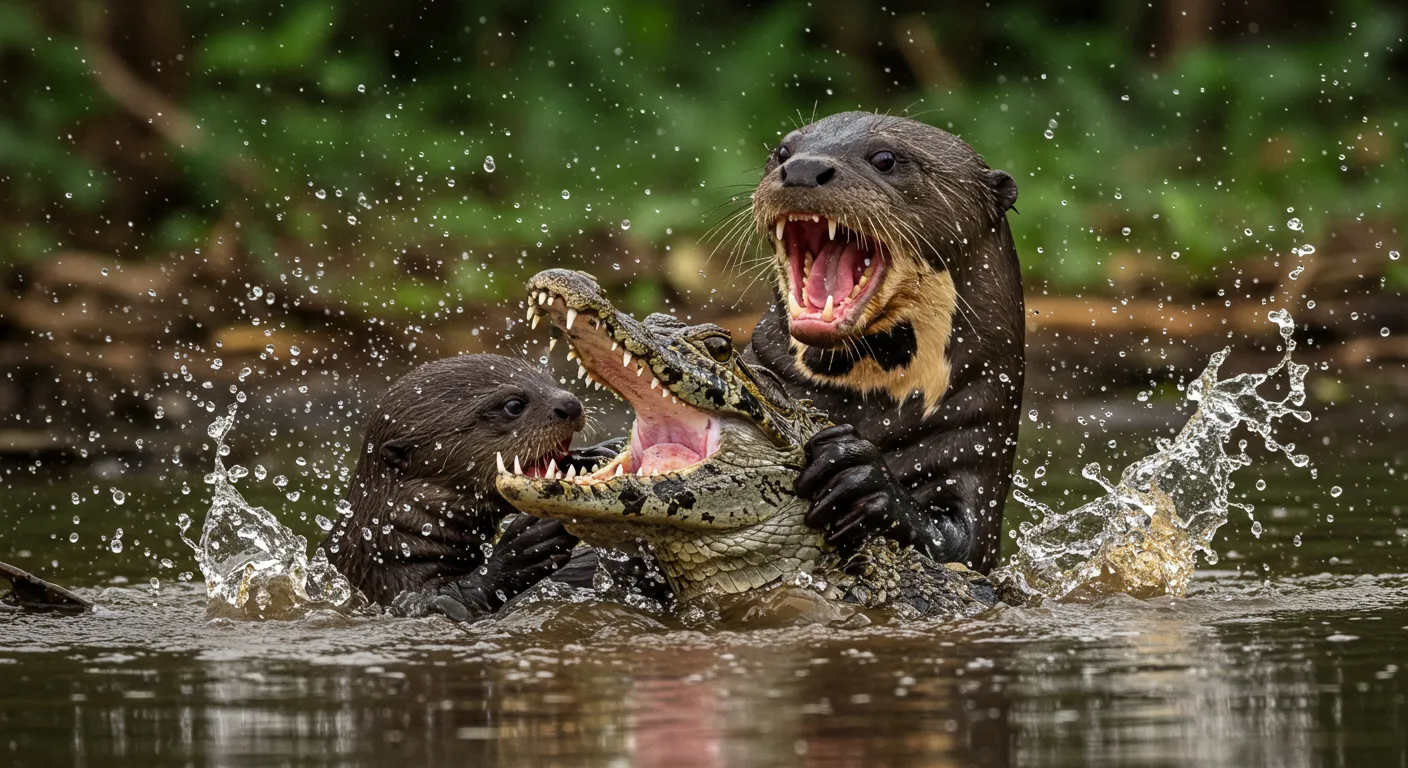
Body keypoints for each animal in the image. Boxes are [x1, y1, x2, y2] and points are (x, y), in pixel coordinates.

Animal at [325, 355, 622, 617]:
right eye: (514, 405)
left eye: (549, 381)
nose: (571, 404)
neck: (389, 543)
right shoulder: (393, 583)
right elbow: (449, 604)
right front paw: (523, 547)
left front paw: (597, 455)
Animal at [749, 110, 1025, 572]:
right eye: (782, 151)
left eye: (884, 158)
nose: (803, 169)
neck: (866, 409)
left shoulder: (976, 439)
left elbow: (960, 546)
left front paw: (862, 477)